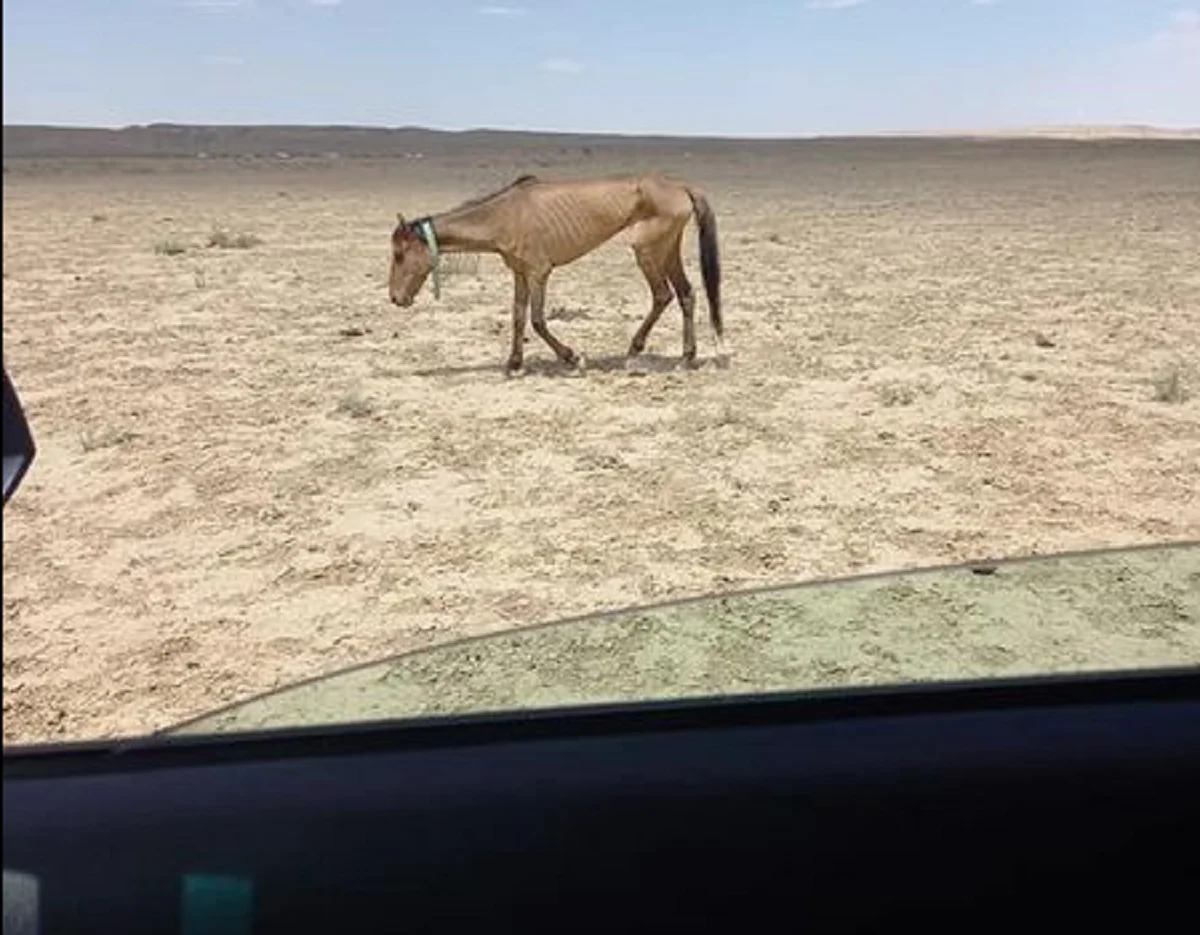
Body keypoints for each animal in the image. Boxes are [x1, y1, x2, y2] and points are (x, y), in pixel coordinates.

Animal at [388, 171, 720, 376]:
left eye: (399, 254)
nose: (395, 297)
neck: (505, 215)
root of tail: (681, 187)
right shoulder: (520, 274)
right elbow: (518, 316)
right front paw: (514, 363)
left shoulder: (539, 273)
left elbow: (537, 320)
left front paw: (572, 357)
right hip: (666, 249)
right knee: (684, 294)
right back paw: (685, 356)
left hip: (647, 250)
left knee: (664, 294)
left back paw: (644, 350)